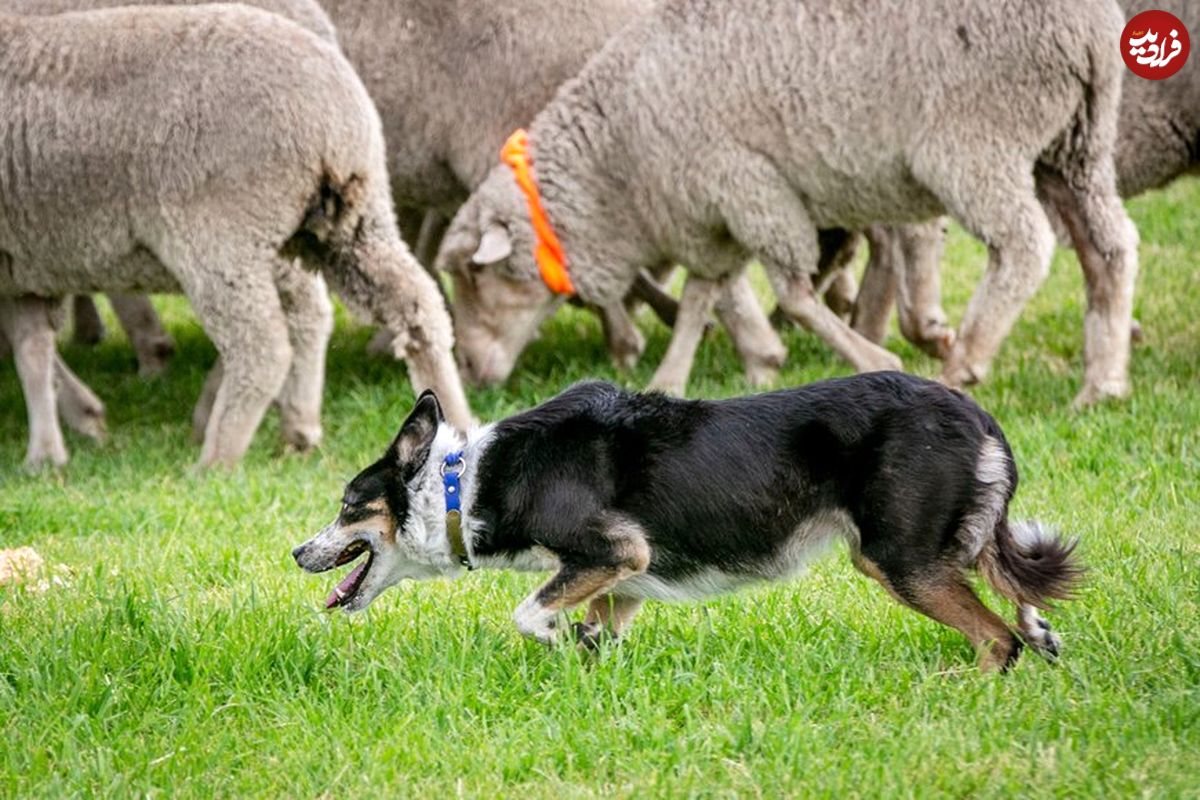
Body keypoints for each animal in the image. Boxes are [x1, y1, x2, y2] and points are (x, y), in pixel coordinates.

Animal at [2, 4, 470, 470]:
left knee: (263, 344)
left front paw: (50, 449)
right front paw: (55, 445)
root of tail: (329, 113)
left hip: (220, 238)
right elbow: (31, 348)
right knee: (412, 305)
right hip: (349, 219)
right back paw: (451, 423)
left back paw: (216, 456)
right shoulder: (21, 266)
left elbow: (30, 349)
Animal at [292, 371, 1080, 671]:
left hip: (899, 557)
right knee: (1013, 591)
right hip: (948, 541)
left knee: (996, 637)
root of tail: (974, 412)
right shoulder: (621, 581)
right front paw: (588, 665)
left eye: (347, 507)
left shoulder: (613, 553)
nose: (298, 553)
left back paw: (966, 680)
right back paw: (1043, 633)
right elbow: (594, 632)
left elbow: (529, 612)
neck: (465, 483)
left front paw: (559, 645)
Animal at [439, 0, 1142, 402]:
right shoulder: (710, 211)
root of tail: (1090, 30)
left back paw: (965, 361)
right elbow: (701, 294)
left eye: (477, 278)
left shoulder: (749, 186)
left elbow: (794, 293)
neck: (618, 160)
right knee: (1108, 247)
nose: (468, 371)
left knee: (1024, 247)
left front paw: (872, 359)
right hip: (1076, 143)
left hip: (976, 142)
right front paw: (674, 377)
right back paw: (1102, 382)